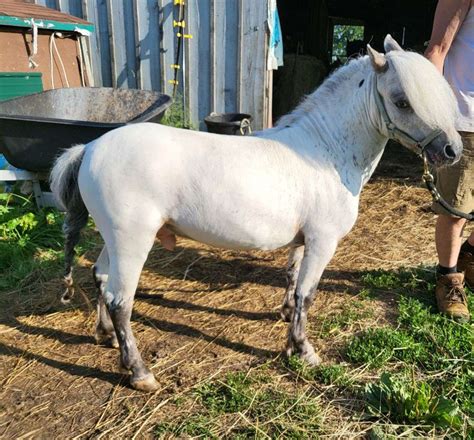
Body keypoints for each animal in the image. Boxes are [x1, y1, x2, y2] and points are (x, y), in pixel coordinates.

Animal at [51, 36, 460, 390]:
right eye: (402, 101)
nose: (452, 150)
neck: (325, 151)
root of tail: (89, 149)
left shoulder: (304, 240)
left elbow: (293, 281)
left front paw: (287, 320)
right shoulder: (323, 241)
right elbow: (307, 294)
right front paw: (303, 350)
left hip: (114, 239)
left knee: (101, 278)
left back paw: (105, 337)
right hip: (133, 241)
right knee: (121, 300)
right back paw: (139, 373)